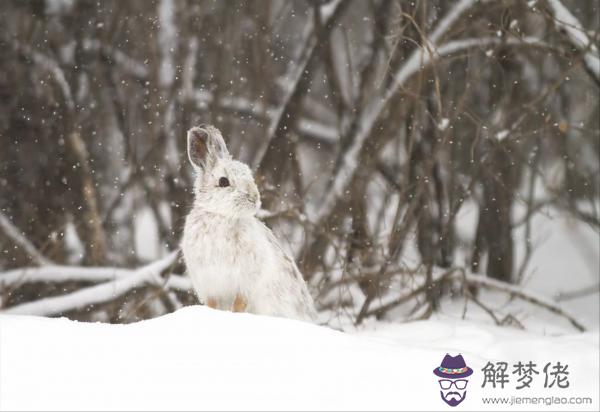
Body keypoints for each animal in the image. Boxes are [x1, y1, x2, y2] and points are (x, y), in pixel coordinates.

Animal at [180, 125, 316, 322]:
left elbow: (239, 304)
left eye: (249, 176)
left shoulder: (245, 284)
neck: (222, 216)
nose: (254, 198)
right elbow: (213, 305)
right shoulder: (210, 284)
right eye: (223, 182)